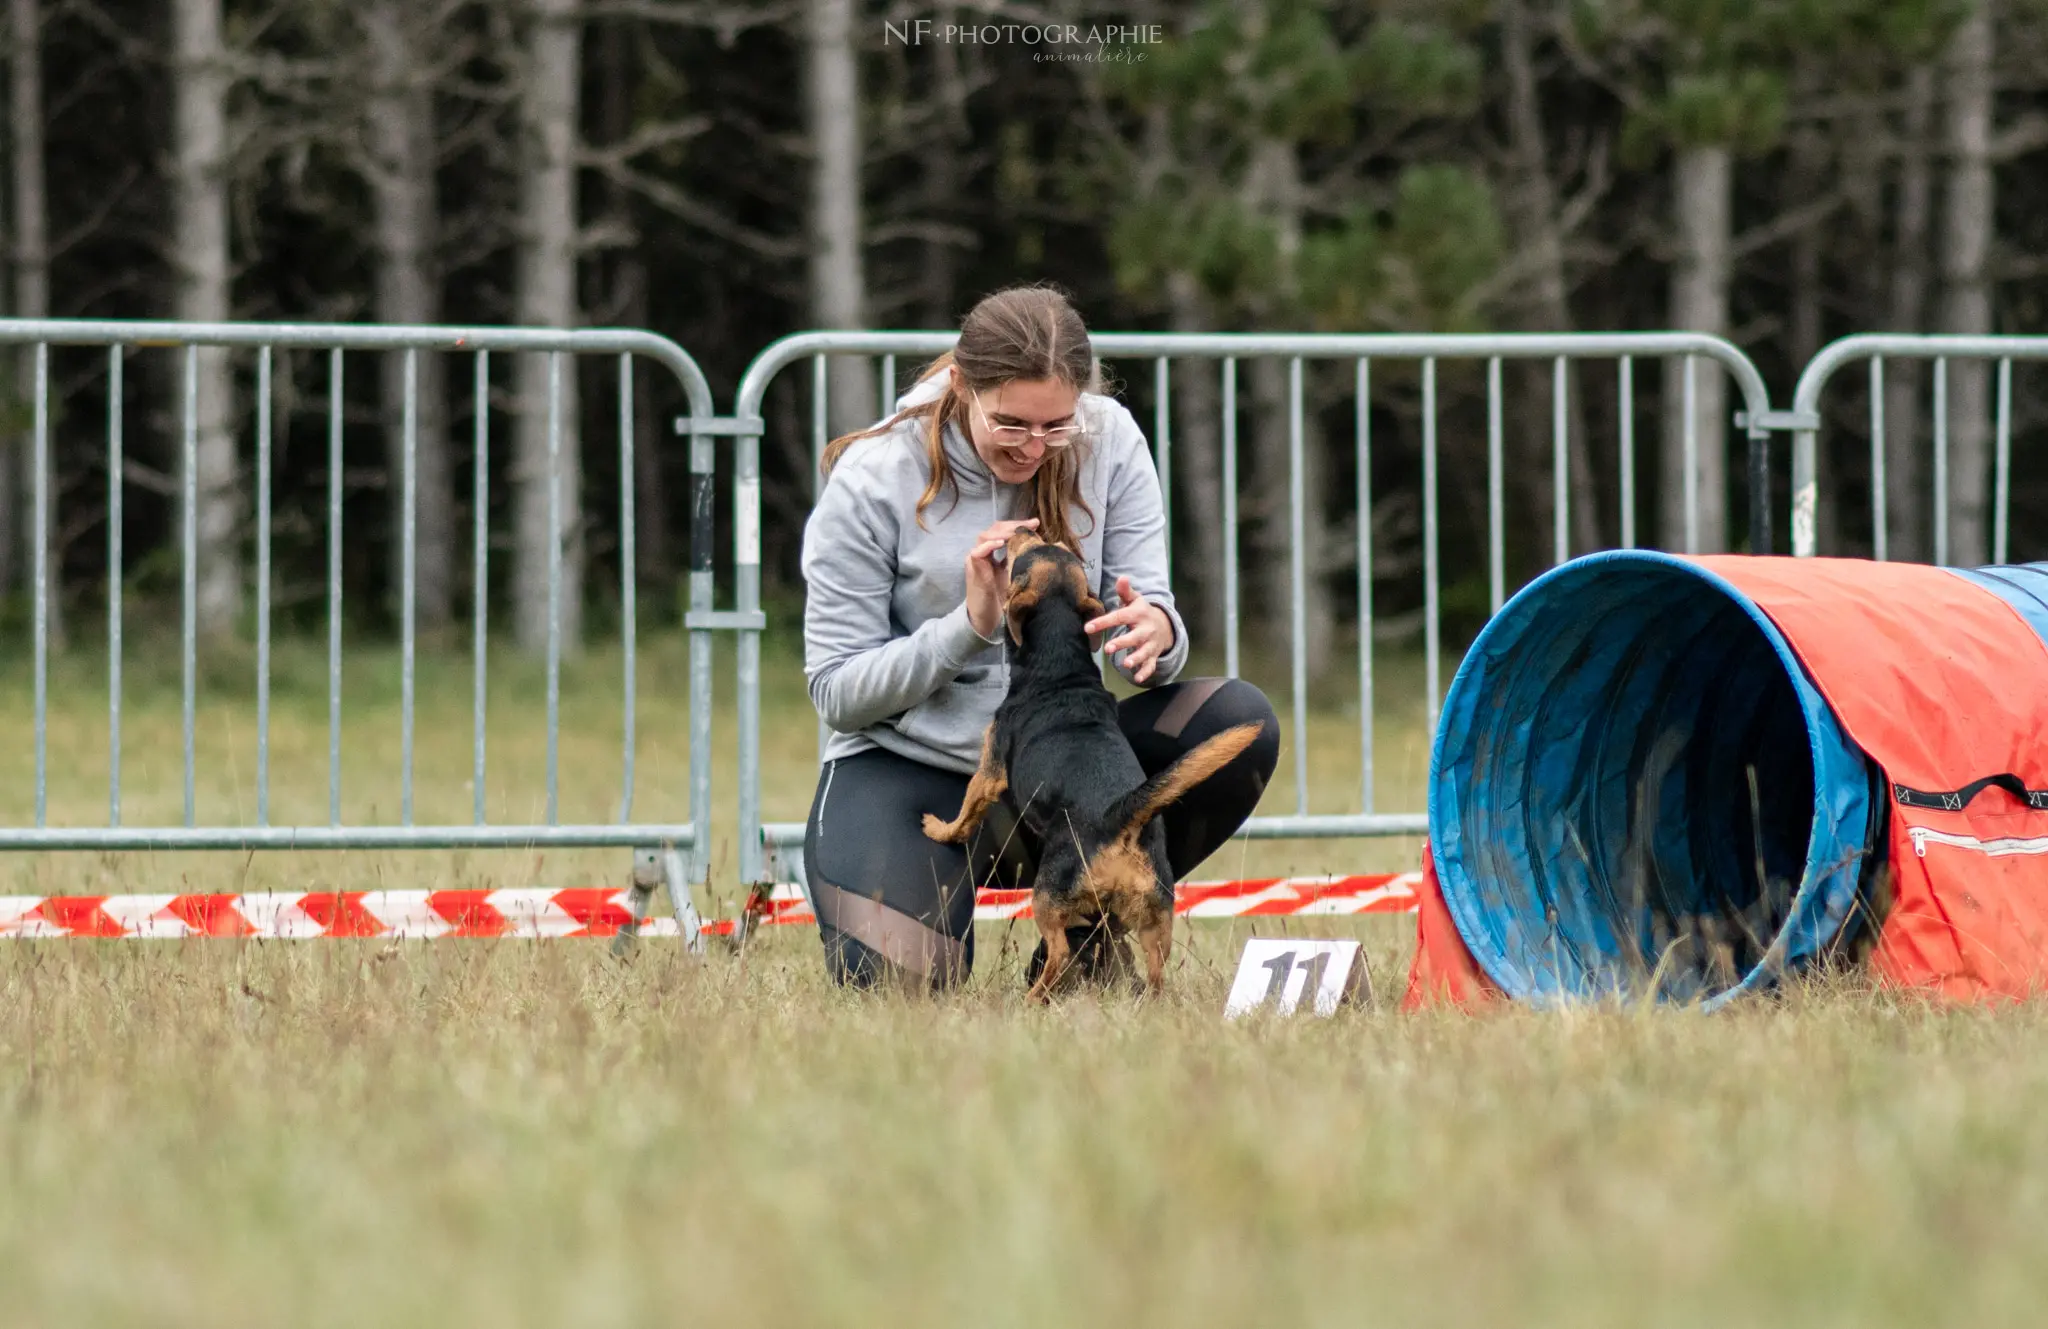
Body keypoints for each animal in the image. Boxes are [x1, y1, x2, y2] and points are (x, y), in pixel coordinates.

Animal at [921, 528, 1253, 995]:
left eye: (1024, 554)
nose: (1026, 528)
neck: (1060, 659)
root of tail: (1119, 818)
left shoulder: (990, 768)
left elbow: (966, 810)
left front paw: (938, 828)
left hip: (1047, 893)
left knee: (1059, 952)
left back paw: (1034, 998)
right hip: (1154, 916)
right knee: (1155, 971)